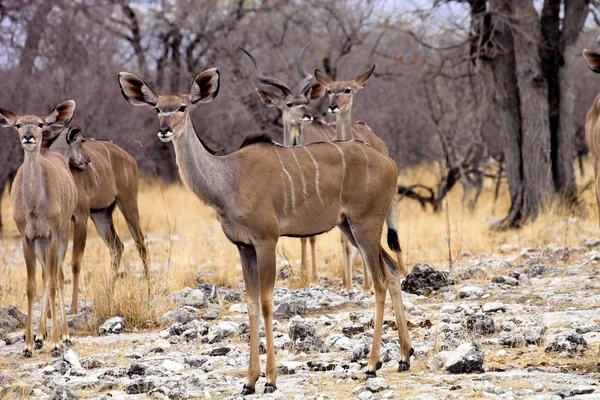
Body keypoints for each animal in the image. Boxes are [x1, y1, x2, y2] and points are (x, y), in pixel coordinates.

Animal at [0, 100, 78, 356]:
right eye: (18, 125)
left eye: (41, 124)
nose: (28, 137)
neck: (35, 207)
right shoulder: (27, 238)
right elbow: (31, 286)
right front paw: (28, 344)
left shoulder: (52, 234)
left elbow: (53, 283)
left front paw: (55, 342)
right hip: (41, 243)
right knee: (46, 275)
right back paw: (41, 336)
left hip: (63, 232)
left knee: (58, 276)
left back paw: (64, 335)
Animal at [42, 125, 149, 312]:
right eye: (81, 140)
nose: (88, 161)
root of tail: (130, 158)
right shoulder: (60, 226)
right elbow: (55, 266)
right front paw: (49, 313)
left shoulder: (80, 217)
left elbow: (75, 262)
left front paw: (73, 308)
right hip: (101, 214)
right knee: (117, 246)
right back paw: (109, 295)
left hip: (128, 204)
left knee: (140, 243)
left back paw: (150, 291)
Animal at [119, 68, 414, 394]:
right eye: (158, 108)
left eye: (183, 107)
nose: (164, 130)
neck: (228, 180)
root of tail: (390, 164)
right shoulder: (243, 246)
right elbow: (249, 304)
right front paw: (249, 381)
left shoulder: (266, 241)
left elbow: (266, 301)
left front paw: (270, 380)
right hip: (350, 227)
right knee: (393, 269)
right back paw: (404, 356)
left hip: (365, 225)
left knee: (380, 281)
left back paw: (373, 364)